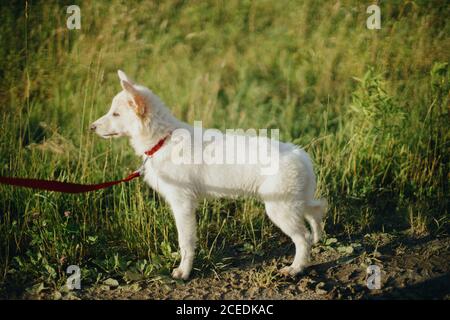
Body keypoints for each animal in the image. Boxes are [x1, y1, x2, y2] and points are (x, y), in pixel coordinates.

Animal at [89, 70, 326, 280]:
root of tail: (299, 154)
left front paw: (183, 272)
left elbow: (185, 241)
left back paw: (296, 268)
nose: (91, 127)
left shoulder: (183, 204)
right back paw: (317, 237)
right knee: (316, 210)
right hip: (292, 201)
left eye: (116, 114)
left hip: (279, 208)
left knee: (302, 238)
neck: (163, 139)